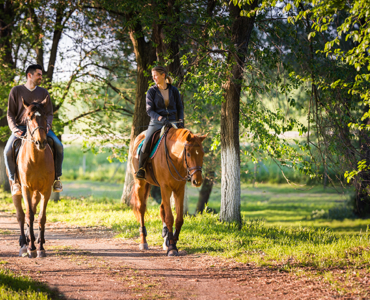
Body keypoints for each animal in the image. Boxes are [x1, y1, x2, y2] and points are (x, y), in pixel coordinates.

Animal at [9, 96, 55, 258]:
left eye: (45, 117)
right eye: (28, 118)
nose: (40, 142)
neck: (36, 159)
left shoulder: (46, 190)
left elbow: (41, 217)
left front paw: (40, 248)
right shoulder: (26, 189)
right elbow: (28, 215)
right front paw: (31, 248)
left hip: (37, 192)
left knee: (34, 212)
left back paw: (32, 239)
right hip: (17, 190)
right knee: (21, 215)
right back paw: (24, 244)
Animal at [131, 126, 207, 255]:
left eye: (202, 154)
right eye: (188, 154)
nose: (197, 181)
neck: (175, 158)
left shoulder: (179, 189)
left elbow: (179, 219)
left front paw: (173, 241)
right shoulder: (165, 187)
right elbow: (169, 218)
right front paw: (172, 248)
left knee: (162, 209)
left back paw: (165, 238)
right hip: (141, 183)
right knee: (141, 209)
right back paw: (143, 242)